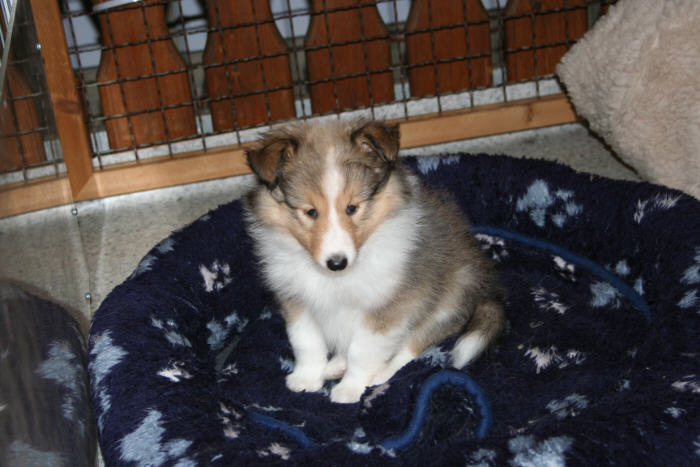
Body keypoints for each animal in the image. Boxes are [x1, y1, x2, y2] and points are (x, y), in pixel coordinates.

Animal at [244, 119, 505, 404]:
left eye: (352, 208)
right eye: (311, 212)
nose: (337, 263)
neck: (335, 278)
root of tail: (487, 285)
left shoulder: (386, 308)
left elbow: (363, 350)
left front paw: (349, 389)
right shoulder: (297, 300)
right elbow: (306, 342)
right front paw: (306, 379)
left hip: (446, 305)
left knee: (411, 348)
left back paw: (378, 376)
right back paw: (335, 366)